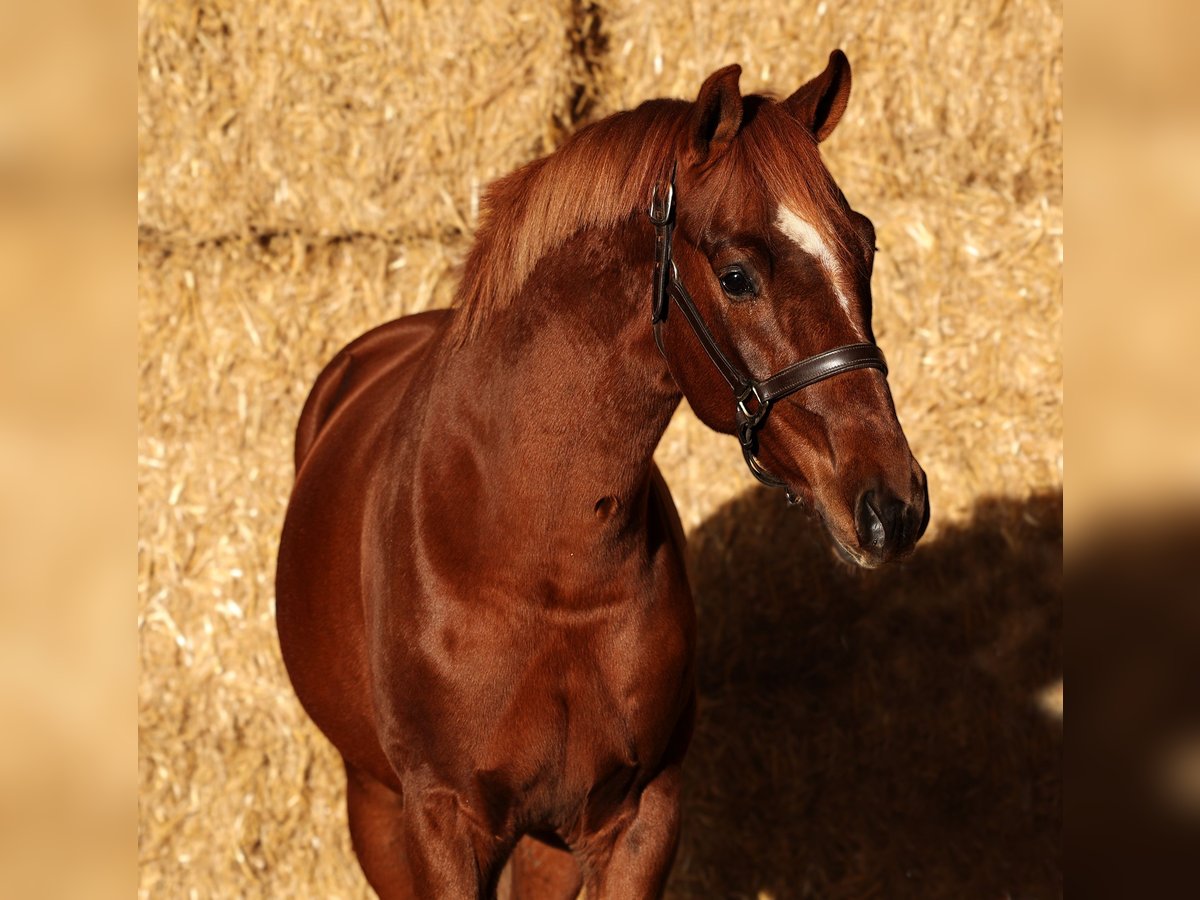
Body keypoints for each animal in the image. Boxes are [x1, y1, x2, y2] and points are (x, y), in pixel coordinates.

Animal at [278, 52, 926, 897]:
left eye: (865, 246)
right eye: (737, 275)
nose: (893, 505)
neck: (540, 564)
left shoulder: (637, 818)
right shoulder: (441, 822)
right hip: (376, 807)